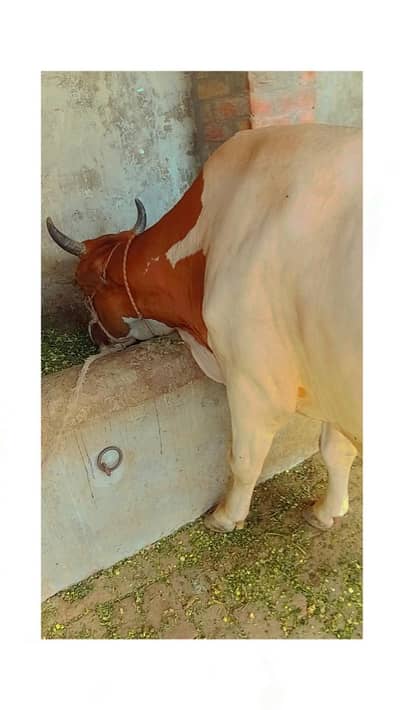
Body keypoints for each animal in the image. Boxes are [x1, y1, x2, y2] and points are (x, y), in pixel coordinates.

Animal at [47, 123, 362, 533]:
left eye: (82, 287)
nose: (92, 335)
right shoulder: (327, 375)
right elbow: (336, 449)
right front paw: (329, 511)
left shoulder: (253, 382)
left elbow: (243, 460)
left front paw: (226, 517)